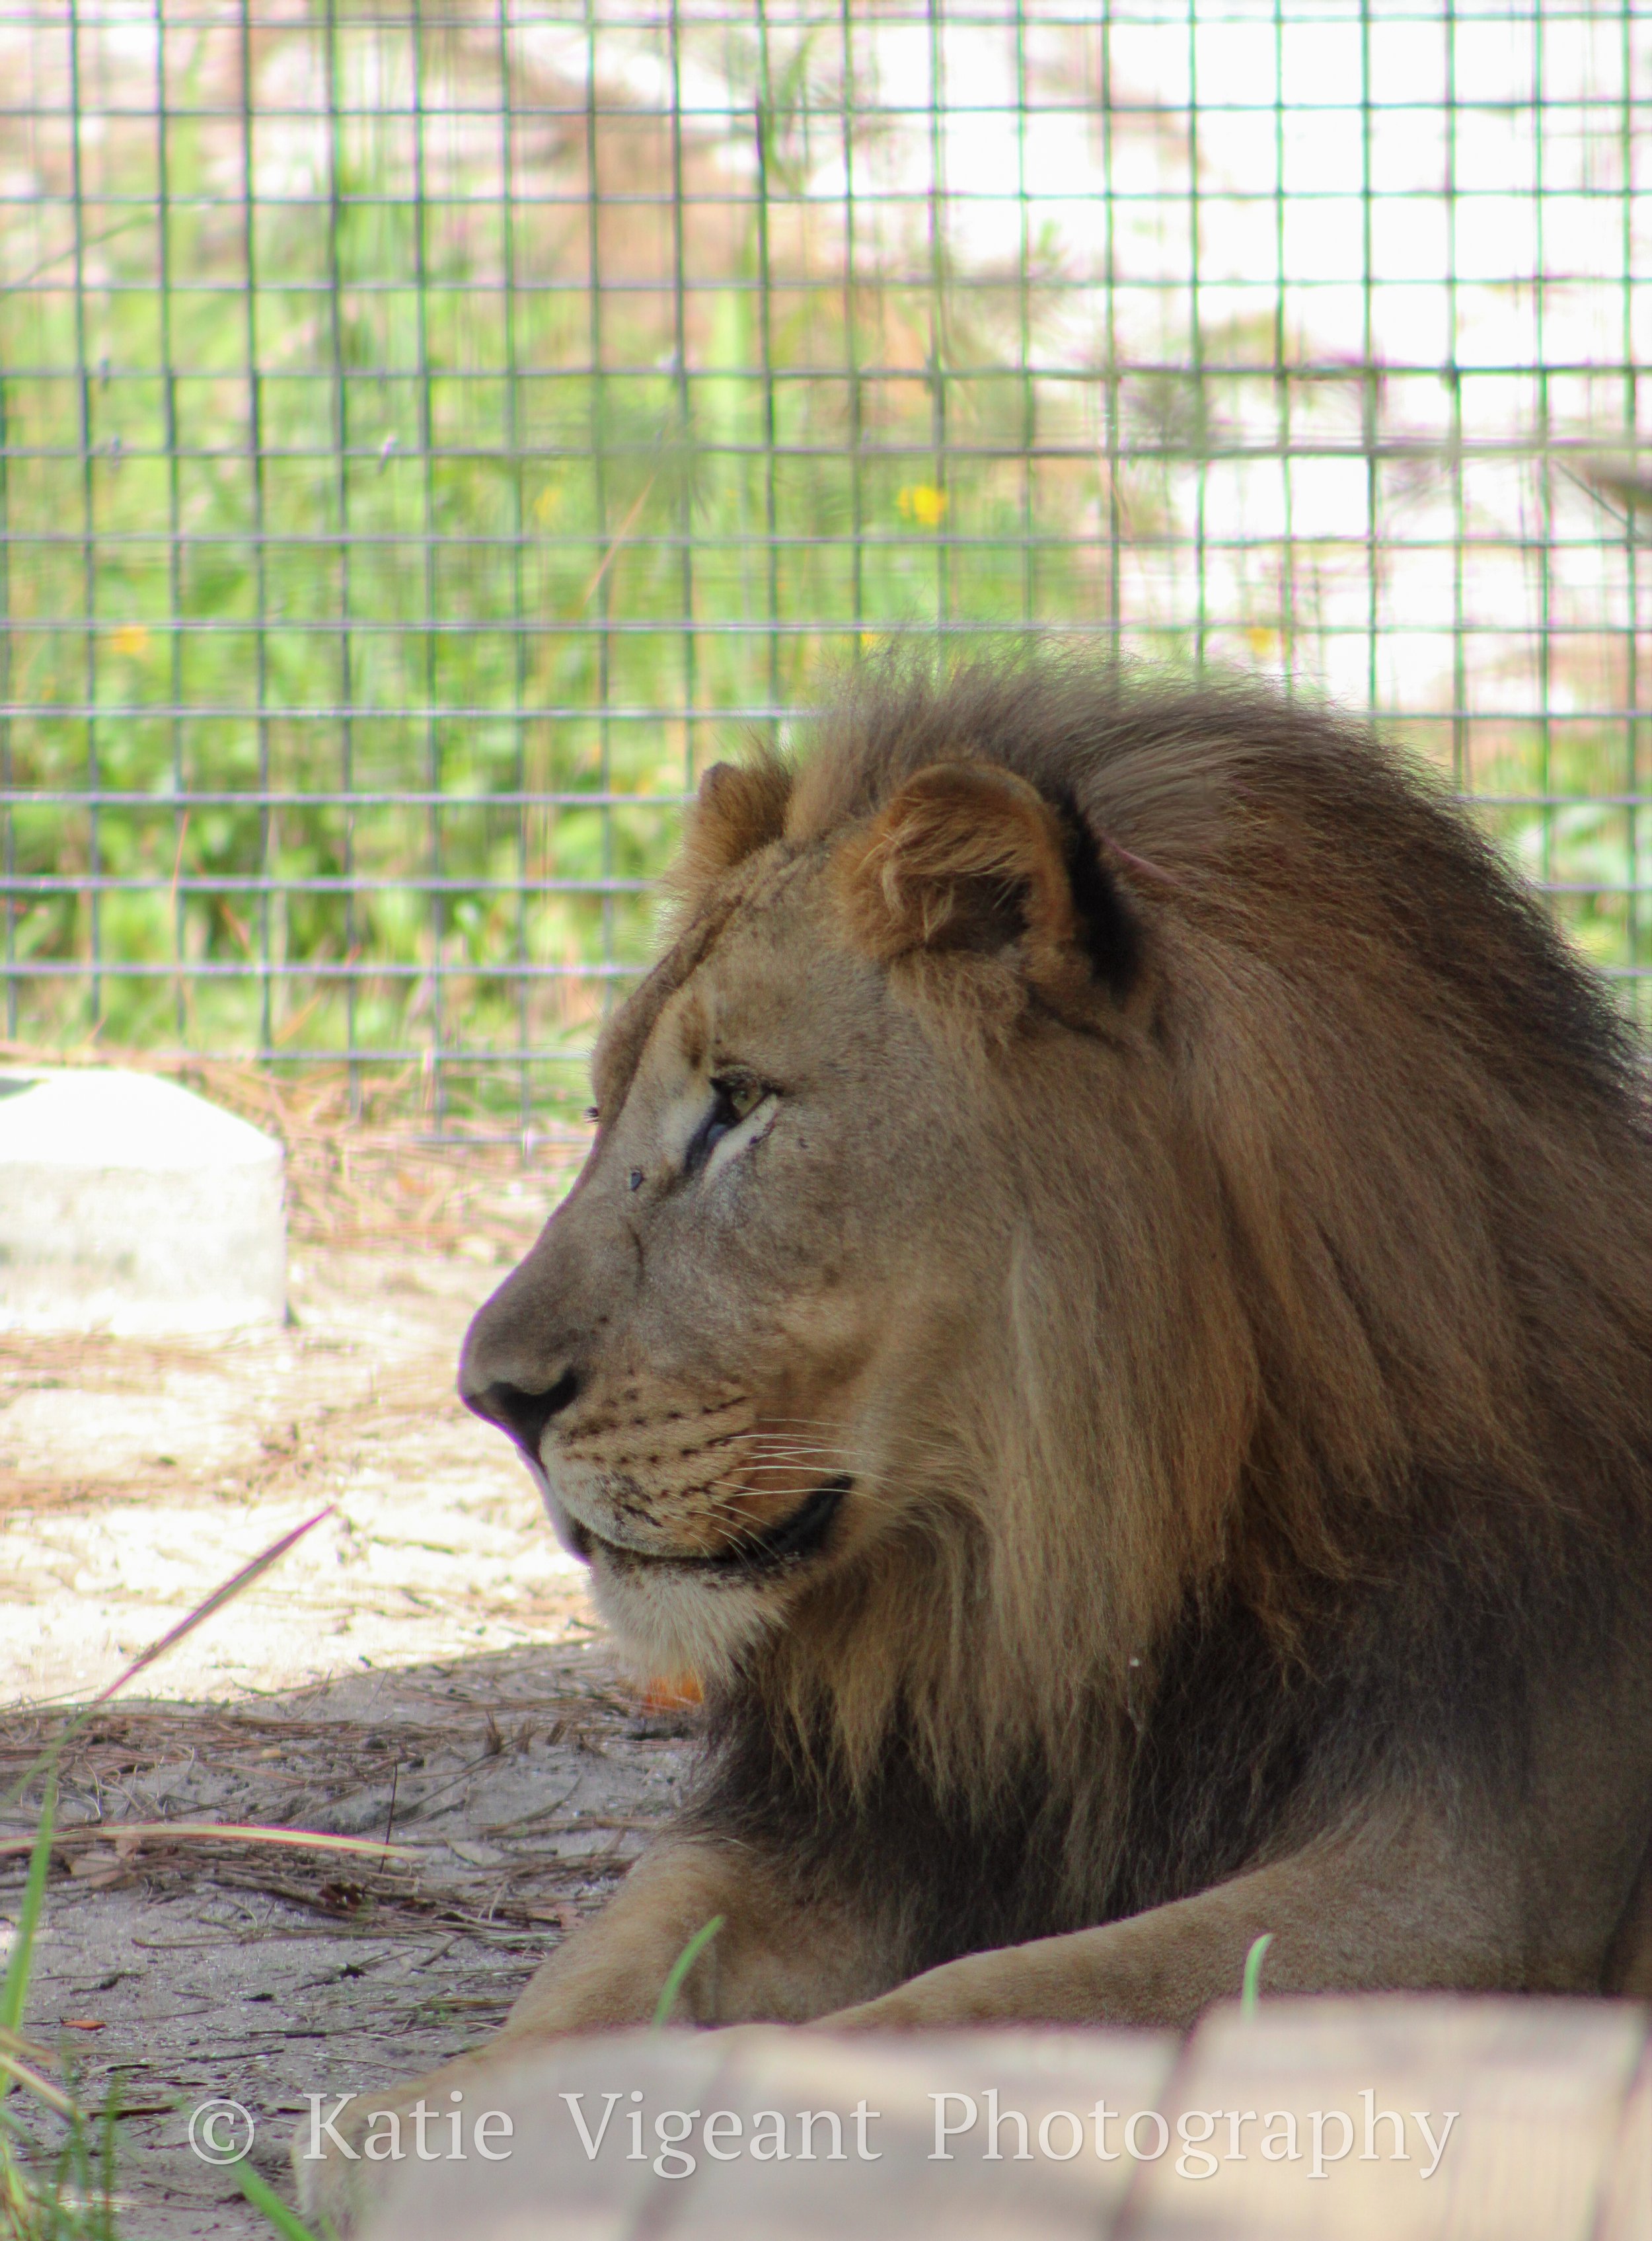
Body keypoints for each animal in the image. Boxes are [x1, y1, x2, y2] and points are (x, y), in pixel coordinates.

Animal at [302, 654, 1652, 2221]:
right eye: (600, 1108)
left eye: (738, 1106)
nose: (491, 1394)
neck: (1055, 1576)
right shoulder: (859, 1817)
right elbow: (611, 1954)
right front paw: (435, 2113)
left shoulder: (1475, 1893)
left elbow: (985, 2000)